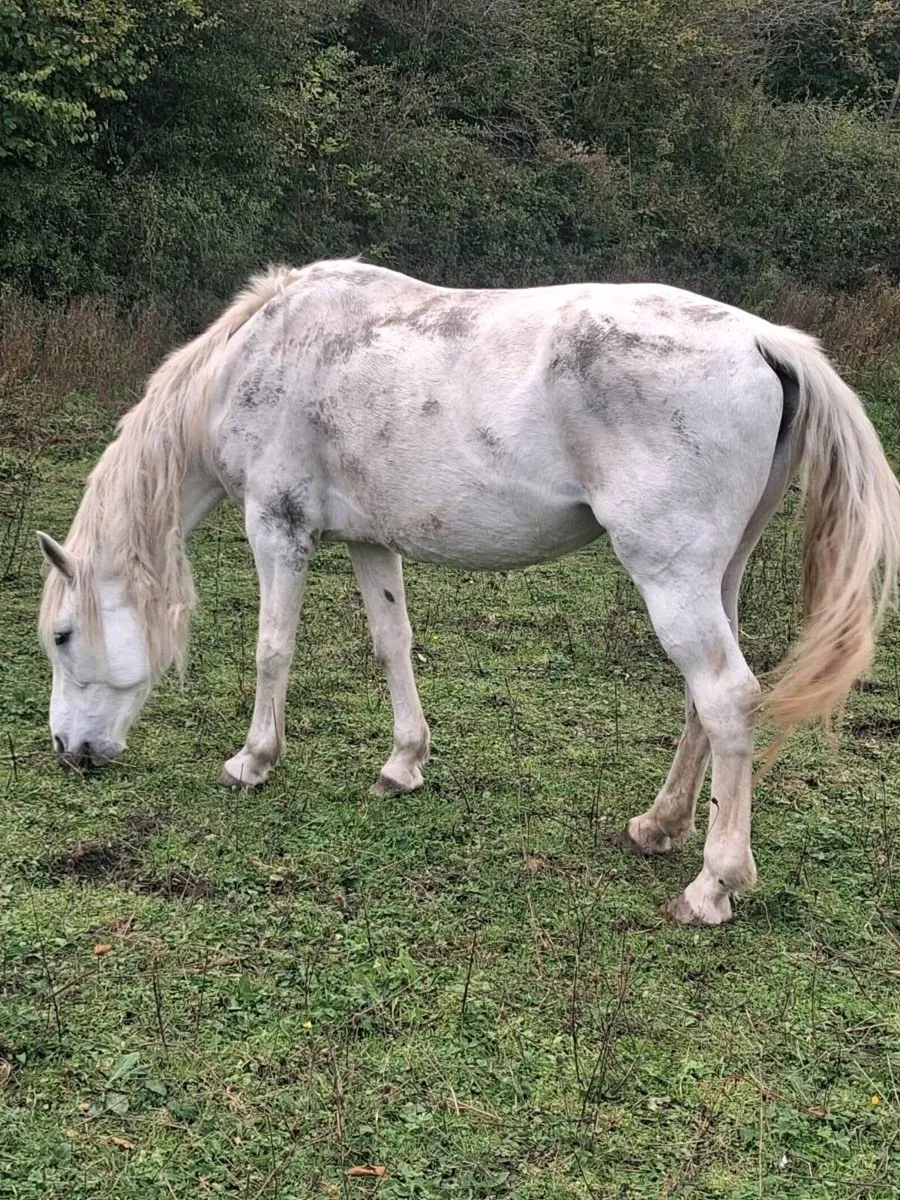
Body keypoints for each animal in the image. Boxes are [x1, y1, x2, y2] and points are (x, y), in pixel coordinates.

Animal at [37, 259, 900, 925]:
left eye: (62, 637)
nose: (70, 752)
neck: (262, 353)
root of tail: (763, 339)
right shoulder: (370, 541)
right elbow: (392, 644)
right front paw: (403, 763)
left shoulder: (275, 527)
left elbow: (272, 649)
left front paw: (253, 761)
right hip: (717, 577)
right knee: (707, 702)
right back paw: (658, 826)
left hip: (672, 577)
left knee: (726, 697)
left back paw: (711, 886)